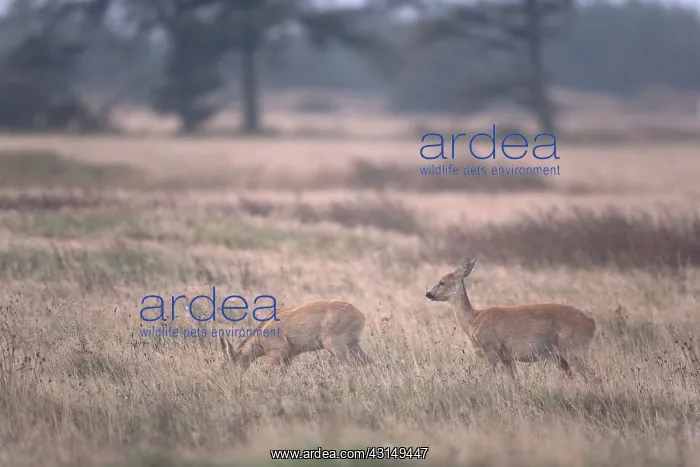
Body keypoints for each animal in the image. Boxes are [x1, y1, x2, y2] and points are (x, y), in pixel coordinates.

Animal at [219, 298, 371, 371]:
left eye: (227, 363)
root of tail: (360, 315)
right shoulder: (288, 358)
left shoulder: (278, 352)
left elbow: (265, 370)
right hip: (353, 344)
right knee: (367, 362)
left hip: (334, 345)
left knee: (349, 365)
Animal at [425, 256, 598, 382]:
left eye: (442, 282)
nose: (428, 293)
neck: (473, 321)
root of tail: (591, 323)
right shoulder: (507, 358)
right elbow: (515, 380)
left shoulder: (491, 348)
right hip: (562, 356)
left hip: (574, 347)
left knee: (592, 376)